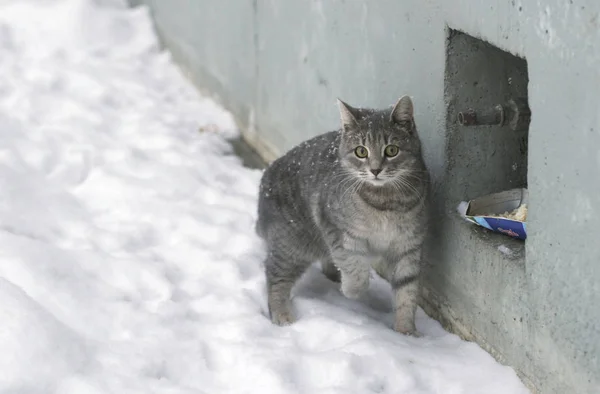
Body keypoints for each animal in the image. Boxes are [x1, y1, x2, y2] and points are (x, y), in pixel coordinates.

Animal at [255, 96, 428, 336]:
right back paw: (282, 315)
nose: (375, 170)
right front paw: (351, 290)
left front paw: (406, 332)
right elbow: (355, 269)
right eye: (361, 151)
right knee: (275, 276)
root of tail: (266, 176)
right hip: (291, 246)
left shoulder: (408, 247)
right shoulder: (338, 232)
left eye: (392, 150)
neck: (385, 201)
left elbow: (407, 292)